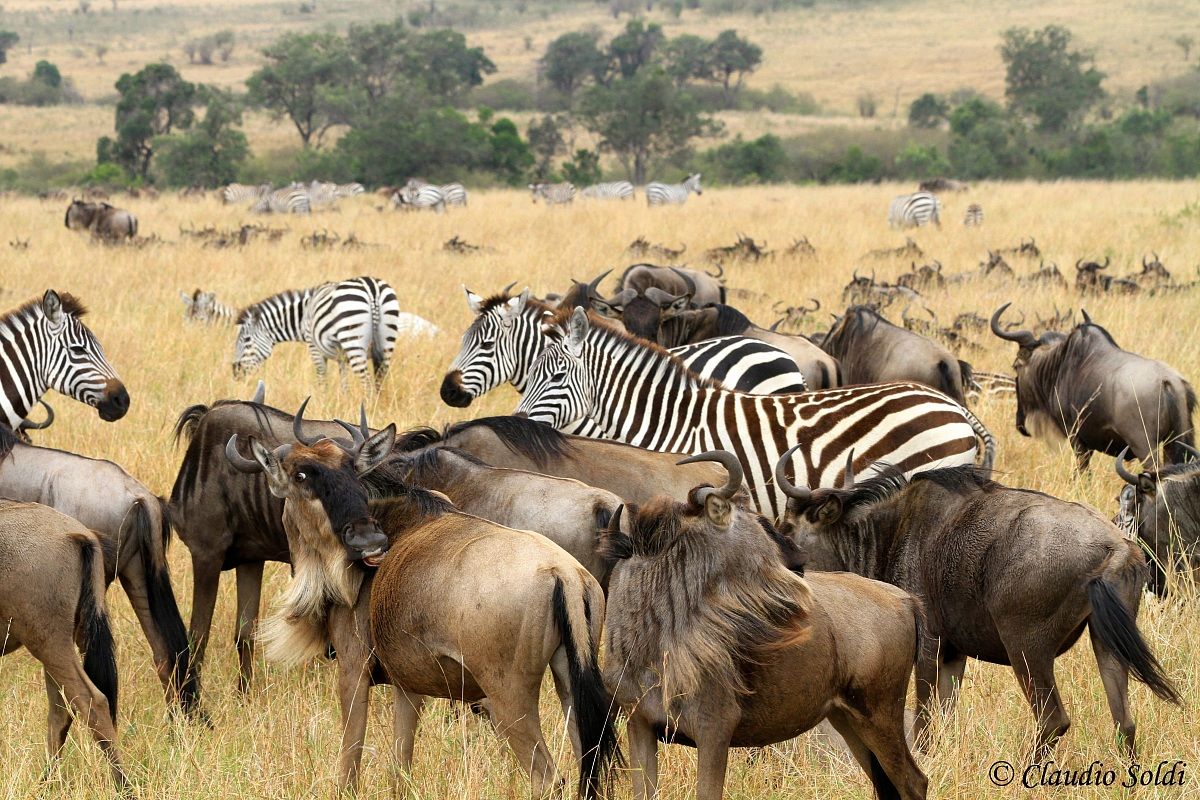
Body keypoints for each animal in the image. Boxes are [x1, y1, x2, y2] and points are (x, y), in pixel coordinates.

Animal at [232, 276, 401, 389]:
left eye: (246, 340)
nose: (235, 372)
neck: (302, 316)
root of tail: (371, 288)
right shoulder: (341, 357)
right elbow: (344, 382)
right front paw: (344, 401)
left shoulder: (314, 347)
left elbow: (321, 378)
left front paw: (323, 402)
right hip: (386, 341)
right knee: (380, 379)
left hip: (353, 340)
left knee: (367, 382)